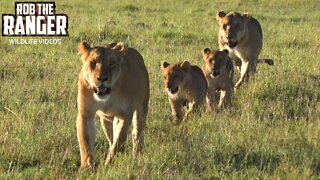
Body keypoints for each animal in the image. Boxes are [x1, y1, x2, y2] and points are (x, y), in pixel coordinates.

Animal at [77, 40, 149, 169]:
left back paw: (137, 156)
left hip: (142, 108)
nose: (102, 78)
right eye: (93, 62)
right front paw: (87, 166)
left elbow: (119, 140)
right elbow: (85, 142)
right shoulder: (85, 113)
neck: (108, 95)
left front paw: (108, 164)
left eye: (112, 64)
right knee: (111, 139)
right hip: (105, 120)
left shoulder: (124, 115)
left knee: (137, 134)